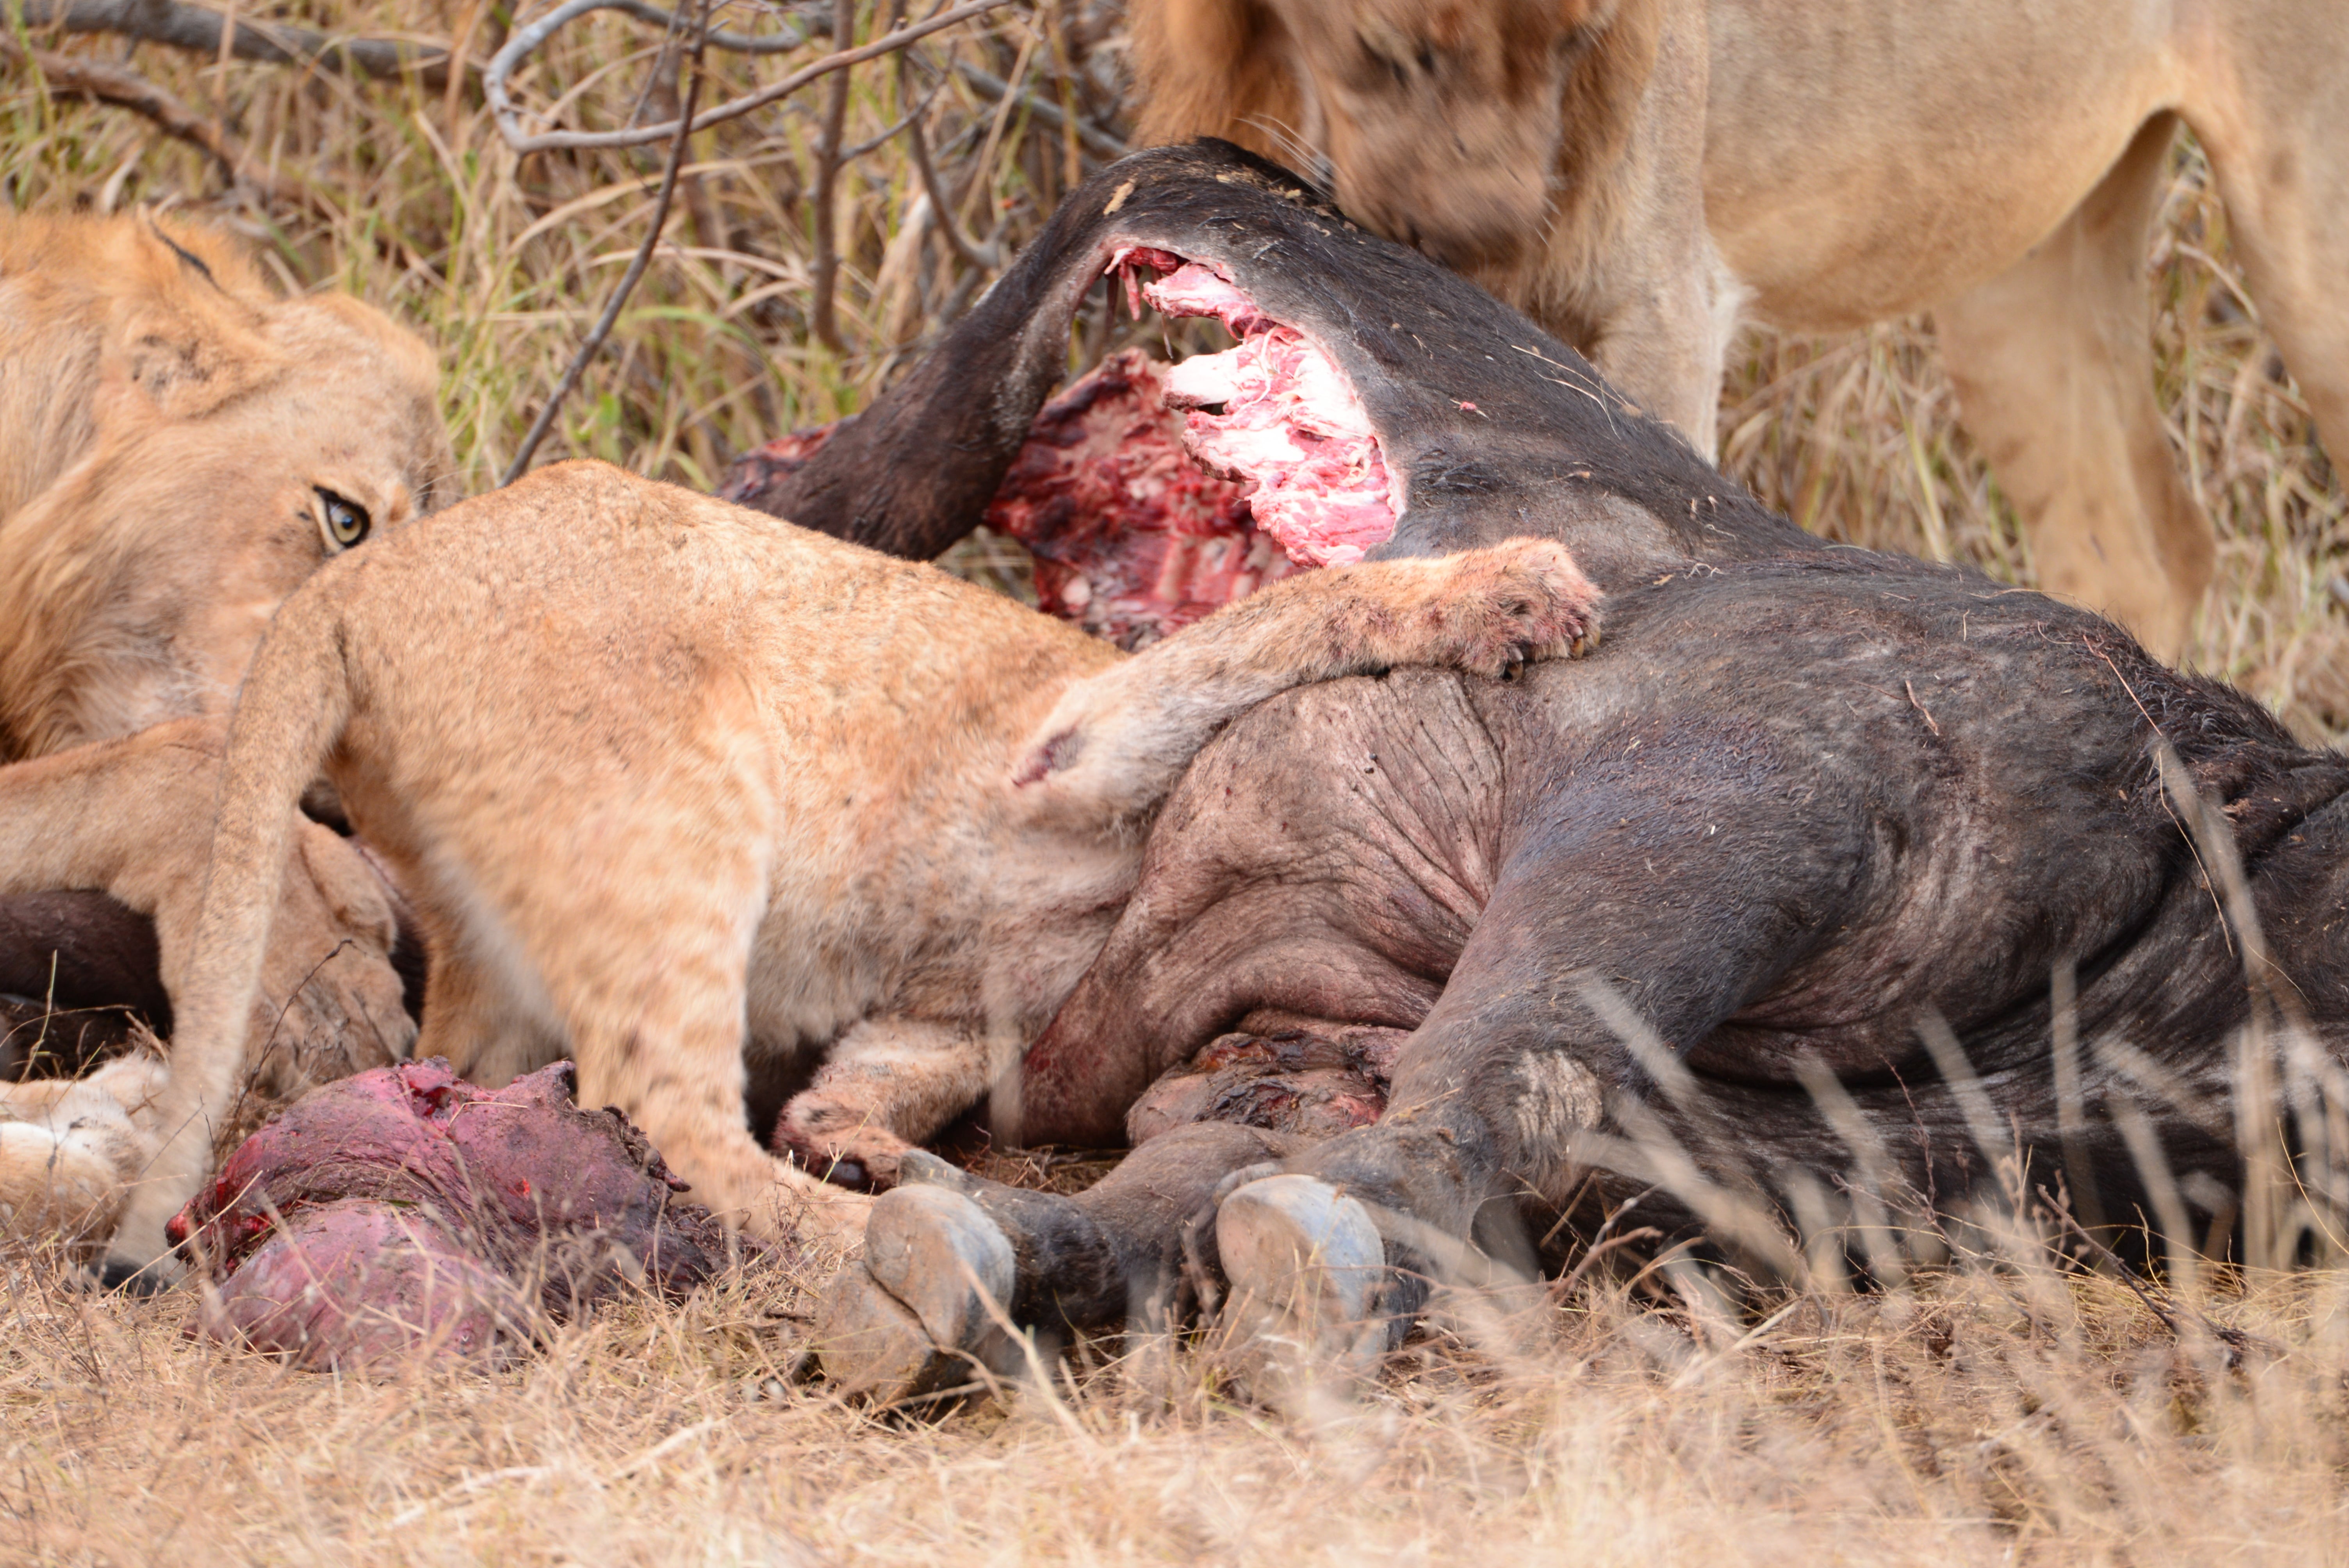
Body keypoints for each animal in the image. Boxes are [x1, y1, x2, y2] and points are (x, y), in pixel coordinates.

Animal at [93, 459, 1599, 1281]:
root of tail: (352, 581)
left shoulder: (944, 1011)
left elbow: (883, 1068)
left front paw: (852, 1132)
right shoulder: (1078, 738)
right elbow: (1288, 613)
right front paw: (1512, 588)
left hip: (495, 933)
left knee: (461, 1067)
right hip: (679, 803)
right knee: (657, 1094)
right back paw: (871, 1241)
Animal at [1128, 0, 2349, 659]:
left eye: (1578, 39)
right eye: (1388, 50)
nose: (1490, 246)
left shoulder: (1662, 301)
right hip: (2026, 263)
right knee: (2145, 558)